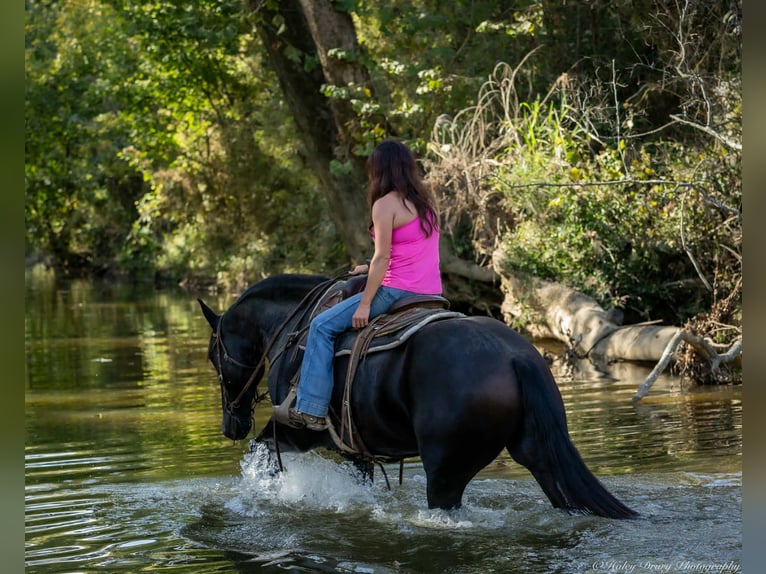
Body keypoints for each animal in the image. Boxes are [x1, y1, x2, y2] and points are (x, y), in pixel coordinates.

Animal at [198, 273, 637, 518]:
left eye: (213, 356)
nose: (230, 425)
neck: (294, 330)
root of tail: (516, 358)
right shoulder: (355, 449)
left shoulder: (298, 431)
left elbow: (260, 456)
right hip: (538, 454)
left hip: (445, 471)